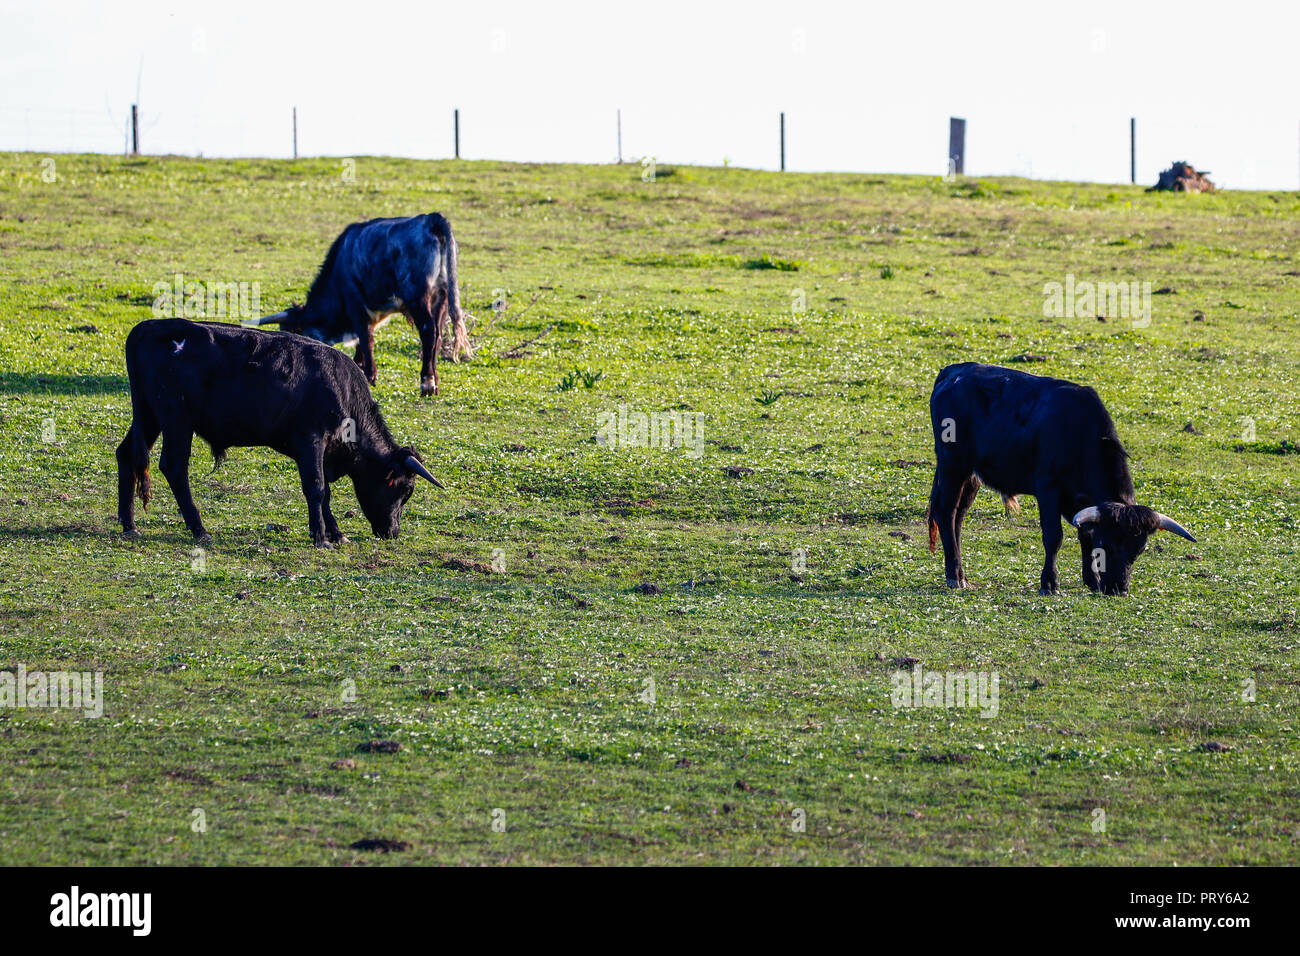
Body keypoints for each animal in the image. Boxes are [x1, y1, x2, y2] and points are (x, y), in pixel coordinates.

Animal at [122, 319, 447, 546]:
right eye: (405, 489)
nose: (393, 532)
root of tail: (149, 327)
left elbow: (325, 493)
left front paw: (336, 533)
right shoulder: (311, 440)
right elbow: (316, 488)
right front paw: (321, 538)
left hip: (149, 417)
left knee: (127, 455)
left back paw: (129, 525)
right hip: (176, 420)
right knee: (174, 467)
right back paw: (199, 529)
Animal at [245, 213, 470, 395]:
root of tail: (429, 219)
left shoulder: (356, 304)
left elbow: (365, 337)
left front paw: (369, 375)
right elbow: (364, 340)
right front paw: (359, 365)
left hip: (418, 296)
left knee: (428, 332)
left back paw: (427, 382)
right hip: (441, 296)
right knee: (438, 335)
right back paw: (436, 380)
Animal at [925, 361, 1196, 595]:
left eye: (1138, 550)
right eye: (1108, 544)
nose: (1119, 589)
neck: (1080, 434)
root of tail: (952, 371)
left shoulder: (1083, 503)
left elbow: (1085, 535)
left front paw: (1092, 581)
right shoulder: (1048, 490)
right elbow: (1054, 537)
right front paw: (1050, 583)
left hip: (971, 475)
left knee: (958, 517)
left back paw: (962, 575)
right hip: (953, 465)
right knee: (946, 512)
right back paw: (954, 576)